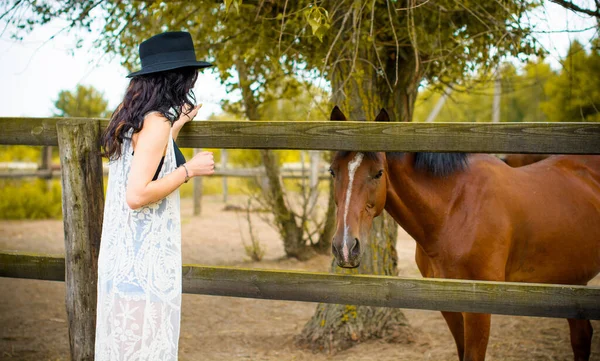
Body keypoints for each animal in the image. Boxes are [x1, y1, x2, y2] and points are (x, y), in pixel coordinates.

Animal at [328, 107, 600, 360]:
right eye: (332, 171)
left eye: (378, 173)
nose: (345, 247)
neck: (455, 210)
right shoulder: (449, 305)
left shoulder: (478, 309)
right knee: (581, 336)